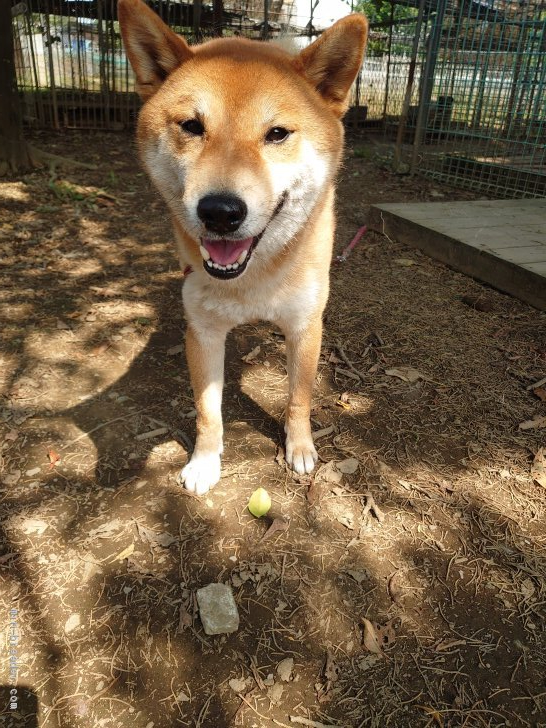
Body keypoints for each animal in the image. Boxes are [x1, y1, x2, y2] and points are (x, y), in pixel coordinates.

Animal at [117, 1, 368, 494]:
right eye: (192, 126)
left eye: (277, 134)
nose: (219, 212)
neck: (252, 281)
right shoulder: (203, 333)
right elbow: (207, 411)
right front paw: (204, 462)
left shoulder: (305, 327)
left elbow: (298, 398)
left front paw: (300, 447)